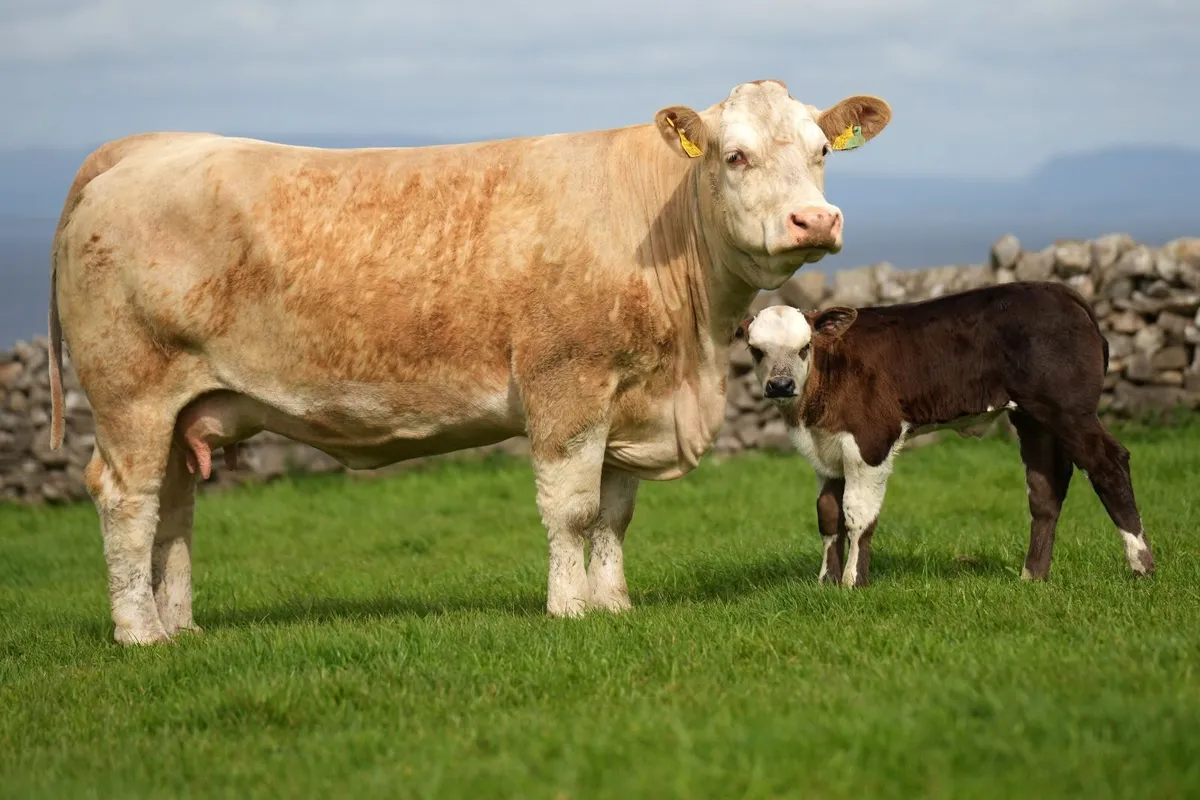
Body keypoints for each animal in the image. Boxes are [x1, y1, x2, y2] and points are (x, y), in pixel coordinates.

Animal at [46, 79, 892, 645]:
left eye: (821, 151)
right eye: (735, 155)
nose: (814, 219)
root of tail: (146, 146)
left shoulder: (629, 400)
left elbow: (614, 512)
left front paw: (614, 603)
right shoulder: (566, 382)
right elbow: (572, 509)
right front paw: (570, 609)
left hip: (181, 408)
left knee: (174, 506)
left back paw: (180, 626)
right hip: (131, 393)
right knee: (127, 500)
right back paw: (139, 633)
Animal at [734, 281, 1157, 589]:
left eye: (805, 347)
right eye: (756, 350)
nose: (781, 385)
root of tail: (1060, 291)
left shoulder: (872, 439)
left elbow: (858, 515)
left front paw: (854, 582)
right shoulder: (825, 453)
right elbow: (827, 514)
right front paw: (826, 581)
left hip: (1069, 409)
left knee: (1108, 463)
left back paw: (1141, 565)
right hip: (1033, 417)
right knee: (1045, 488)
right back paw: (1032, 576)